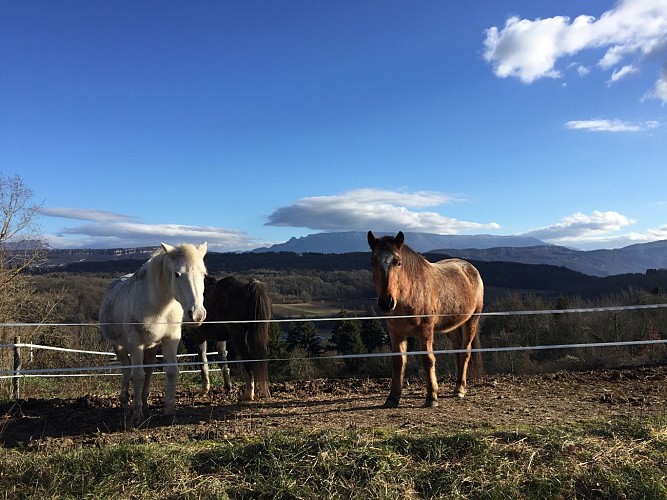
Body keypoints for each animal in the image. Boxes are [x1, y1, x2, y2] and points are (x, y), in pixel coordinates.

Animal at [99, 242, 207, 422]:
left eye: (204, 274)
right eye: (177, 274)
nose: (197, 314)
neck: (159, 306)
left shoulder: (170, 339)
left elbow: (171, 372)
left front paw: (169, 410)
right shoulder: (135, 344)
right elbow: (137, 375)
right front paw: (137, 412)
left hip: (151, 346)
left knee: (148, 370)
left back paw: (145, 403)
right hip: (120, 346)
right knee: (126, 370)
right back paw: (124, 403)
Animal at [368, 232, 482, 408]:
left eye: (398, 262)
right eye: (373, 262)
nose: (386, 302)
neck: (410, 294)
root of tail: (470, 269)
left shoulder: (425, 331)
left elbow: (428, 360)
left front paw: (432, 397)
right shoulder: (395, 333)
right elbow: (398, 362)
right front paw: (392, 398)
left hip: (471, 320)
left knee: (465, 352)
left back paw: (460, 389)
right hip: (451, 327)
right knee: (457, 349)